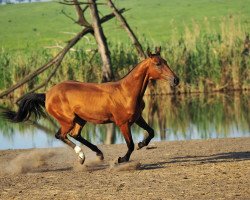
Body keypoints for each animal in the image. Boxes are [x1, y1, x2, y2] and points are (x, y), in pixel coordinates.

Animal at [3, 47, 180, 165]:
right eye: (157, 63)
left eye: (165, 61)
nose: (176, 80)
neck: (126, 92)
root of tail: (47, 94)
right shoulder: (123, 123)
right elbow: (129, 144)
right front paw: (122, 159)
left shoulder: (137, 118)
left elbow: (151, 132)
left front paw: (142, 144)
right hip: (68, 120)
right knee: (60, 135)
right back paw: (81, 156)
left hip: (80, 119)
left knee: (75, 134)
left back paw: (98, 153)